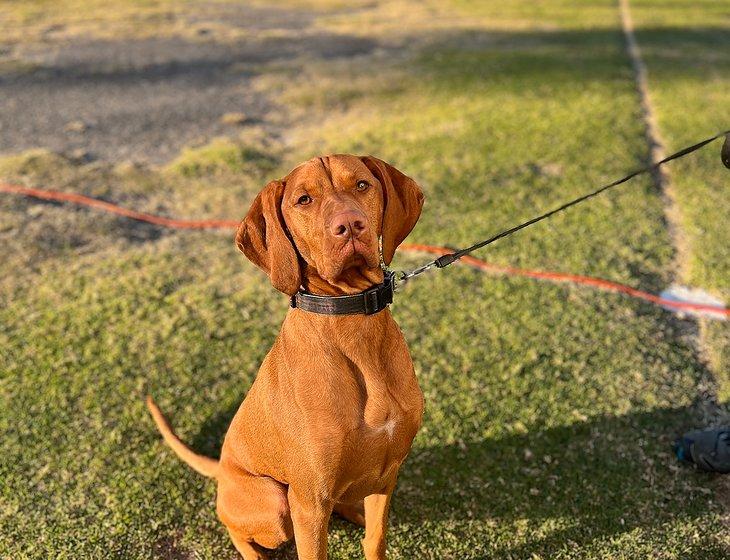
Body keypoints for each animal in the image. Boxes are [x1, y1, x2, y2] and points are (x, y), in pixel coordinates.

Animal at [146, 154, 424, 560]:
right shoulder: (309, 501)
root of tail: (222, 468)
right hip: (275, 501)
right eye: (303, 200)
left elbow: (375, 540)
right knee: (235, 527)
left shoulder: (386, 475)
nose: (350, 226)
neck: (352, 323)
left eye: (362, 185)